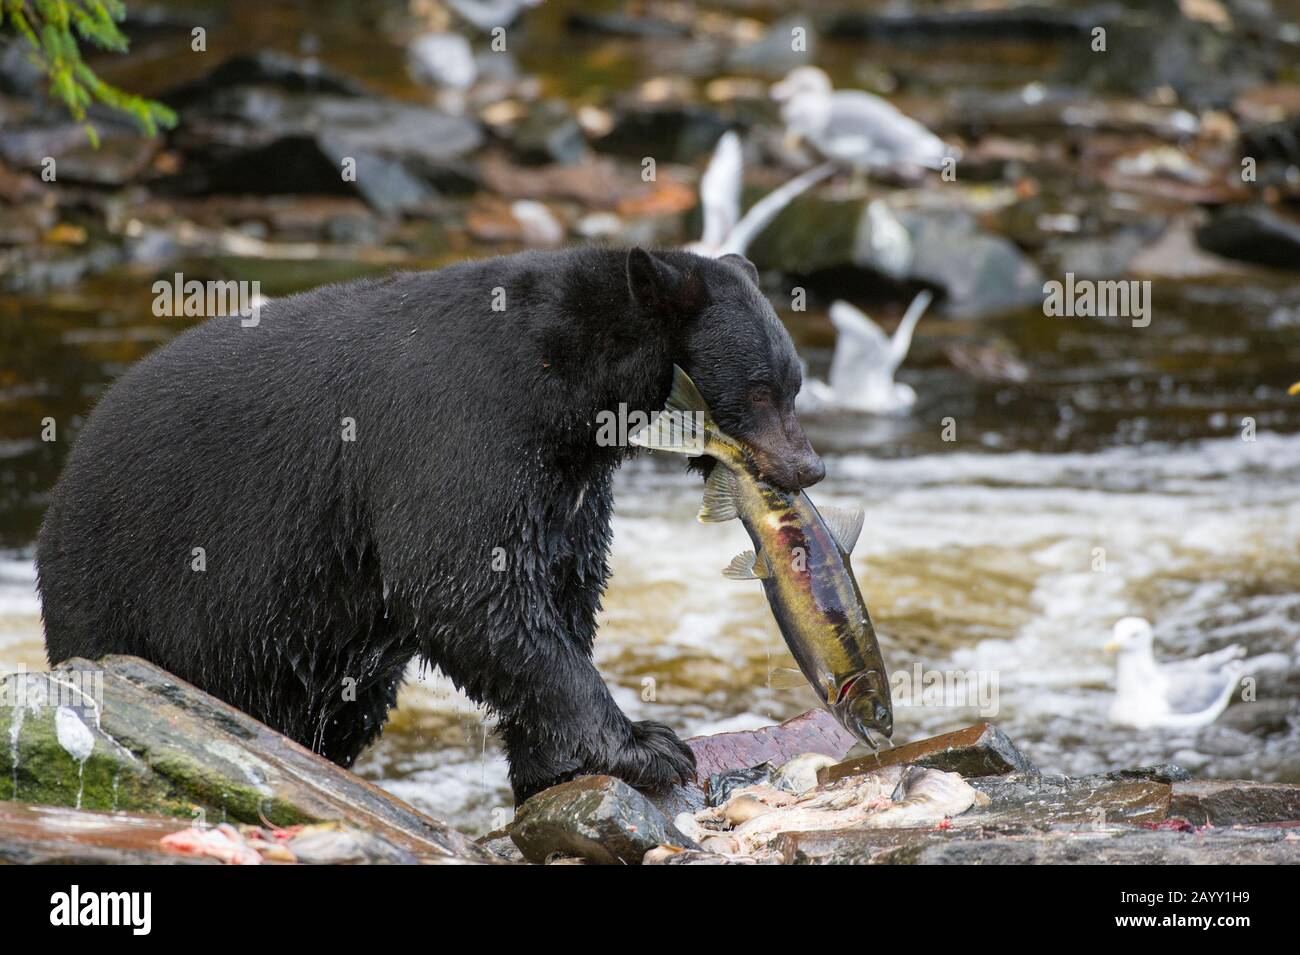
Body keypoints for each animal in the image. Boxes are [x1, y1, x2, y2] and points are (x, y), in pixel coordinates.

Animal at [38, 250, 821, 805]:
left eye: (795, 383)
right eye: (760, 389)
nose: (806, 467)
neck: (563, 380)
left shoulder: (564, 482)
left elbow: (561, 586)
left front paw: (553, 762)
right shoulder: (461, 429)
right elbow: (468, 588)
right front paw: (647, 745)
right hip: (128, 589)